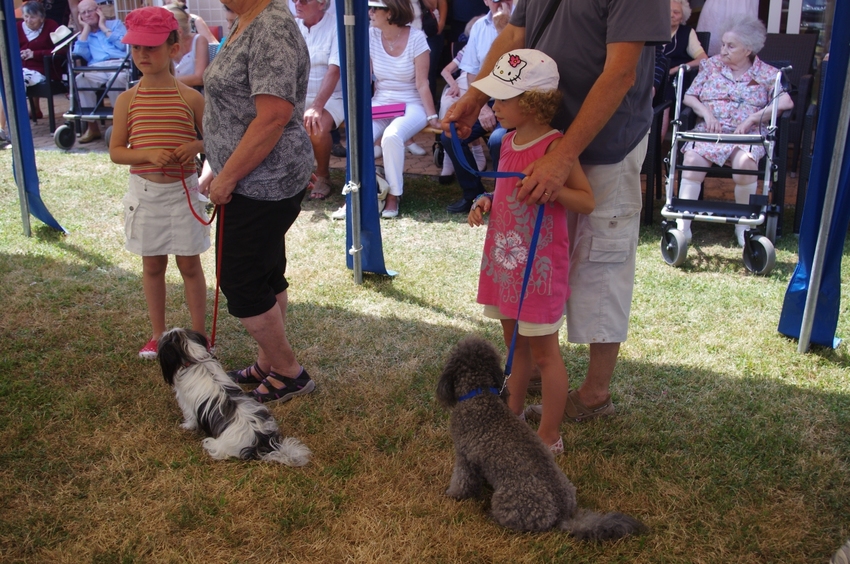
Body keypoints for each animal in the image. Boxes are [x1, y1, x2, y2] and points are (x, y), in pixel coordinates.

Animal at [157, 328, 312, 464]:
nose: (162, 333)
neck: (196, 360)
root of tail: (261, 441)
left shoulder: (187, 404)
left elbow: (190, 419)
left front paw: (186, 426)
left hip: (218, 445)